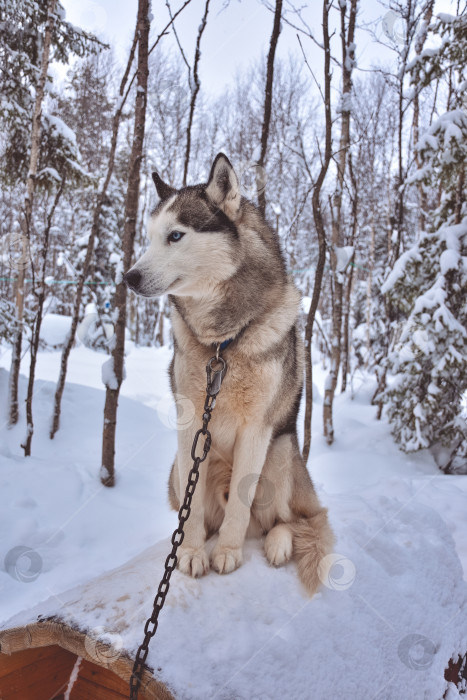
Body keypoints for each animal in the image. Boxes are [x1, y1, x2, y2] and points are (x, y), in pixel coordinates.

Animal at [124, 154, 334, 596]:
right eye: (149, 238)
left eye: (176, 236)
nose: (129, 277)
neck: (222, 344)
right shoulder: (190, 428)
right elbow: (191, 516)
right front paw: (190, 552)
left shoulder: (256, 429)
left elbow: (240, 504)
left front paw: (228, 553)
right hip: (176, 470)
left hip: (281, 452)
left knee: (287, 520)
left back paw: (276, 542)